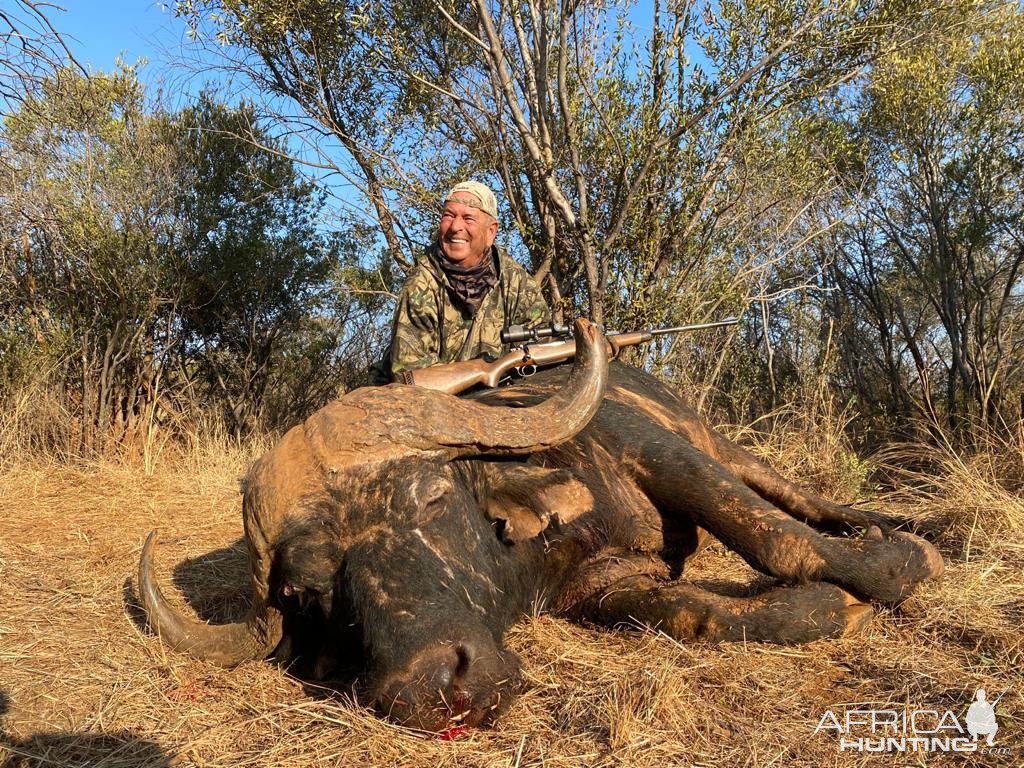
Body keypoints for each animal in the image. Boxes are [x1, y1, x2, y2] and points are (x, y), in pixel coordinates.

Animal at [138, 319, 942, 733]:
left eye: (431, 500)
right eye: (306, 593)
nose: (436, 688)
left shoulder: (661, 454)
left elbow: (774, 535)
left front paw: (895, 566)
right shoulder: (604, 587)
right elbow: (697, 615)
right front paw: (827, 606)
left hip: (720, 444)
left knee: (802, 503)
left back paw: (909, 526)